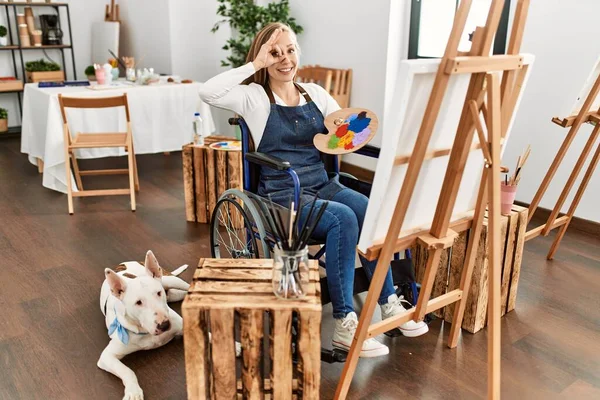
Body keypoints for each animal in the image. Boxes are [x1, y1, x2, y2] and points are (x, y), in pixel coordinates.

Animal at [98, 250, 190, 400]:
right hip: (174, 294)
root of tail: (124, 263)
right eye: (138, 302)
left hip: (170, 280)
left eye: (158, 293)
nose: (164, 325)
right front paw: (133, 392)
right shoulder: (107, 357)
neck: (145, 331)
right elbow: (127, 371)